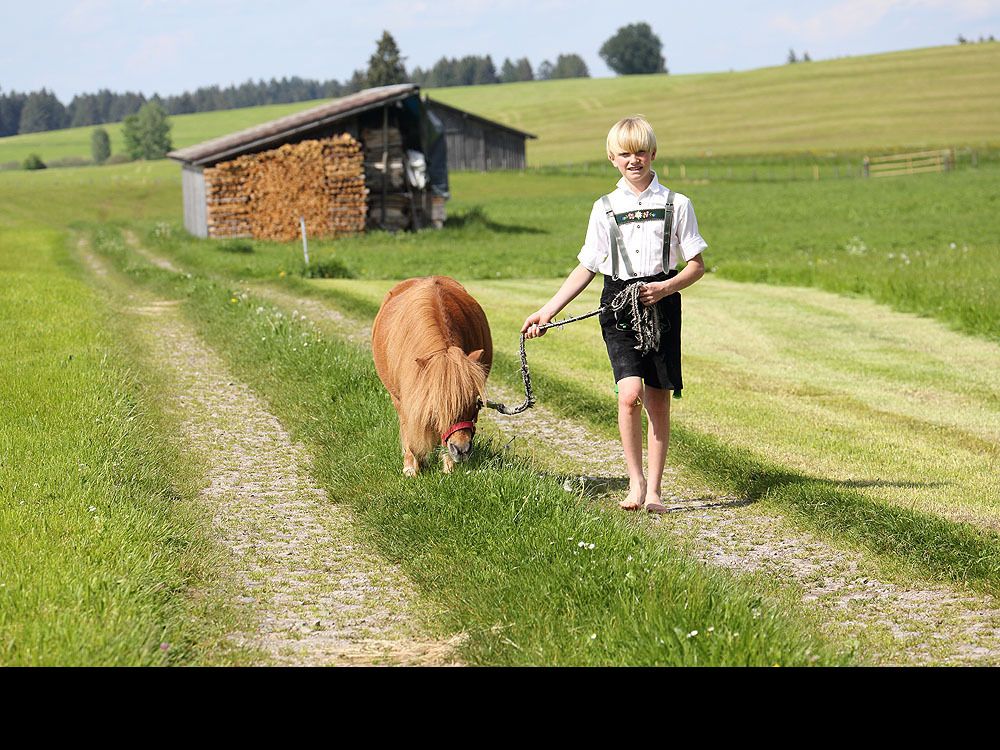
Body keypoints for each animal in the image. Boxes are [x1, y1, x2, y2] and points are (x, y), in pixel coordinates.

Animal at [371, 276, 493, 476]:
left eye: (475, 404)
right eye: (438, 407)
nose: (461, 450)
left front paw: (448, 467)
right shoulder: (405, 400)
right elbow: (409, 428)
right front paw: (411, 466)